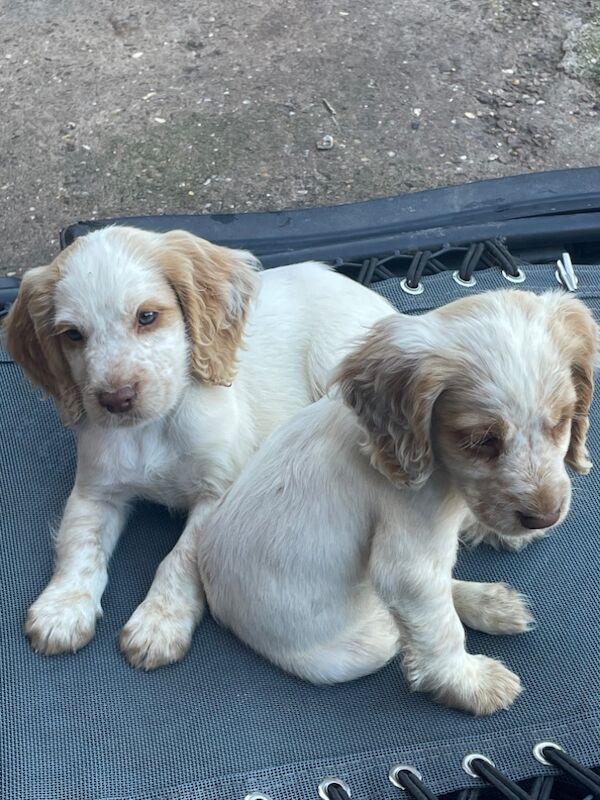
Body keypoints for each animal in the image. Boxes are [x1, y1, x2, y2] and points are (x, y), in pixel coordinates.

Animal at [5, 225, 398, 668]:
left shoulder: (217, 493)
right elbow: (79, 545)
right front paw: (63, 608)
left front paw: (159, 622)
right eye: (73, 334)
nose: (117, 399)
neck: (153, 428)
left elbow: (180, 559)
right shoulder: (96, 491)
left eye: (147, 316)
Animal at [199, 290, 596, 716]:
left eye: (562, 421)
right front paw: (468, 683)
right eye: (480, 440)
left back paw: (489, 602)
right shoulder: (408, 560)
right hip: (357, 648)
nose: (544, 517)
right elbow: (440, 627)